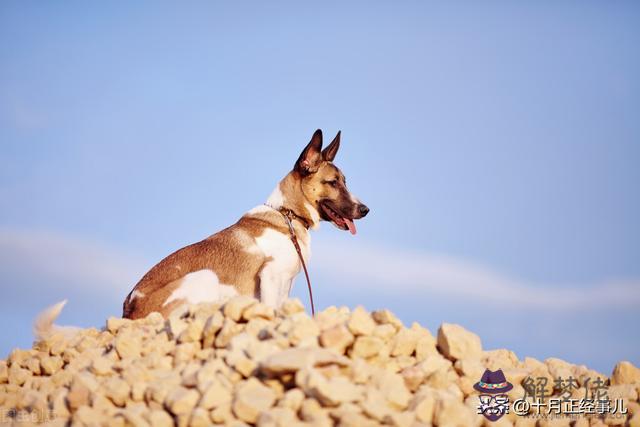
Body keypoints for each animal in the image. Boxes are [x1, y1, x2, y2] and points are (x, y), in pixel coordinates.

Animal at [122, 130, 368, 320]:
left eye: (344, 182)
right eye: (333, 183)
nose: (366, 210)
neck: (287, 216)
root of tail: (129, 308)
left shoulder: (285, 286)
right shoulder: (270, 277)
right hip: (206, 276)